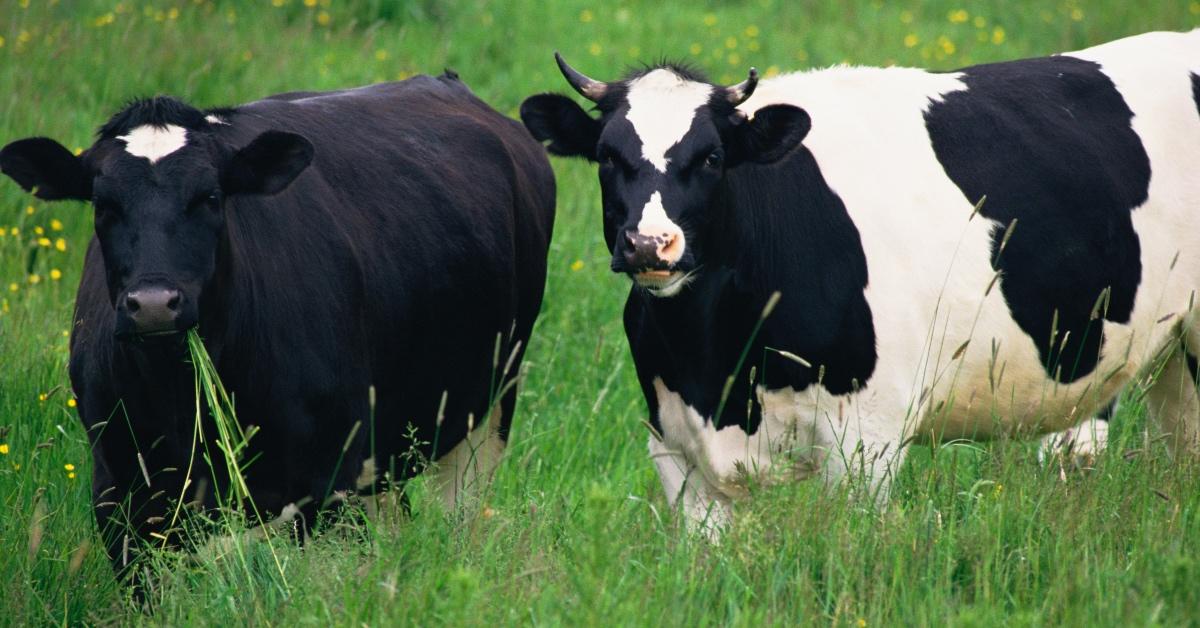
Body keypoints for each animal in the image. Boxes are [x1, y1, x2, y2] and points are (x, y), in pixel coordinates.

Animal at [2, 73, 554, 573]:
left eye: (210, 197)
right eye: (104, 204)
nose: (155, 303)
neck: (180, 398)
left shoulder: (326, 476)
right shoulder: (119, 489)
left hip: (487, 406)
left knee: (458, 513)